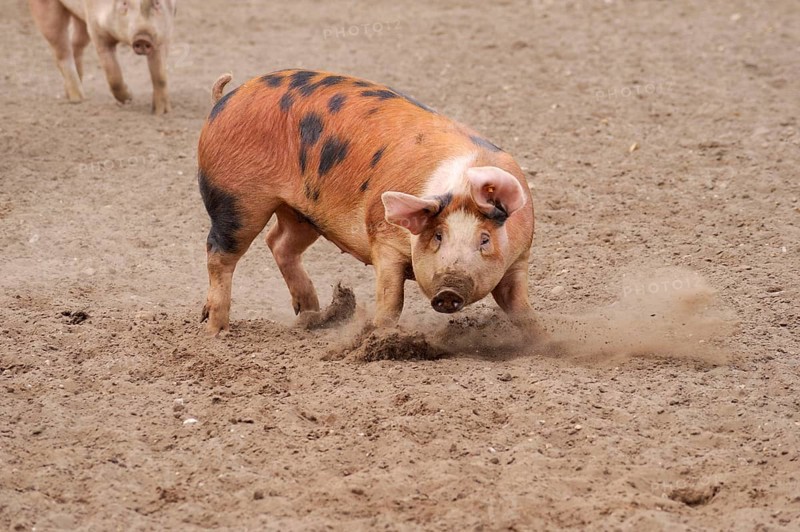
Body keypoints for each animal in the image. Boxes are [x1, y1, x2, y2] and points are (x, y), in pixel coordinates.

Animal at [28, 0, 176, 114]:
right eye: (124, 3)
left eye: (156, 2)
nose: (143, 38)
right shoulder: (96, 30)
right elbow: (113, 74)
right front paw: (129, 98)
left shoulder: (163, 34)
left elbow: (159, 75)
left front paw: (161, 112)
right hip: (46, 10)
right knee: (62, 51)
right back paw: (78, 99)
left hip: (79, 18)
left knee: (76, 44)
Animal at [198, 70, 542, 337]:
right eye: (437, 236)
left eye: (484, 239)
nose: (448, 290)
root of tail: (226, 99)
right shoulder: (383, 239)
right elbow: (391, 300)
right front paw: (379, 336)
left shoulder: (519, 256)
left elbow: (520, 305)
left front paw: (540, 338)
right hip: (236, 198)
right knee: (219, 252)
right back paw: (216, 331)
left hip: (302, 212)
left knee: (279, 242)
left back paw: (311, 315)